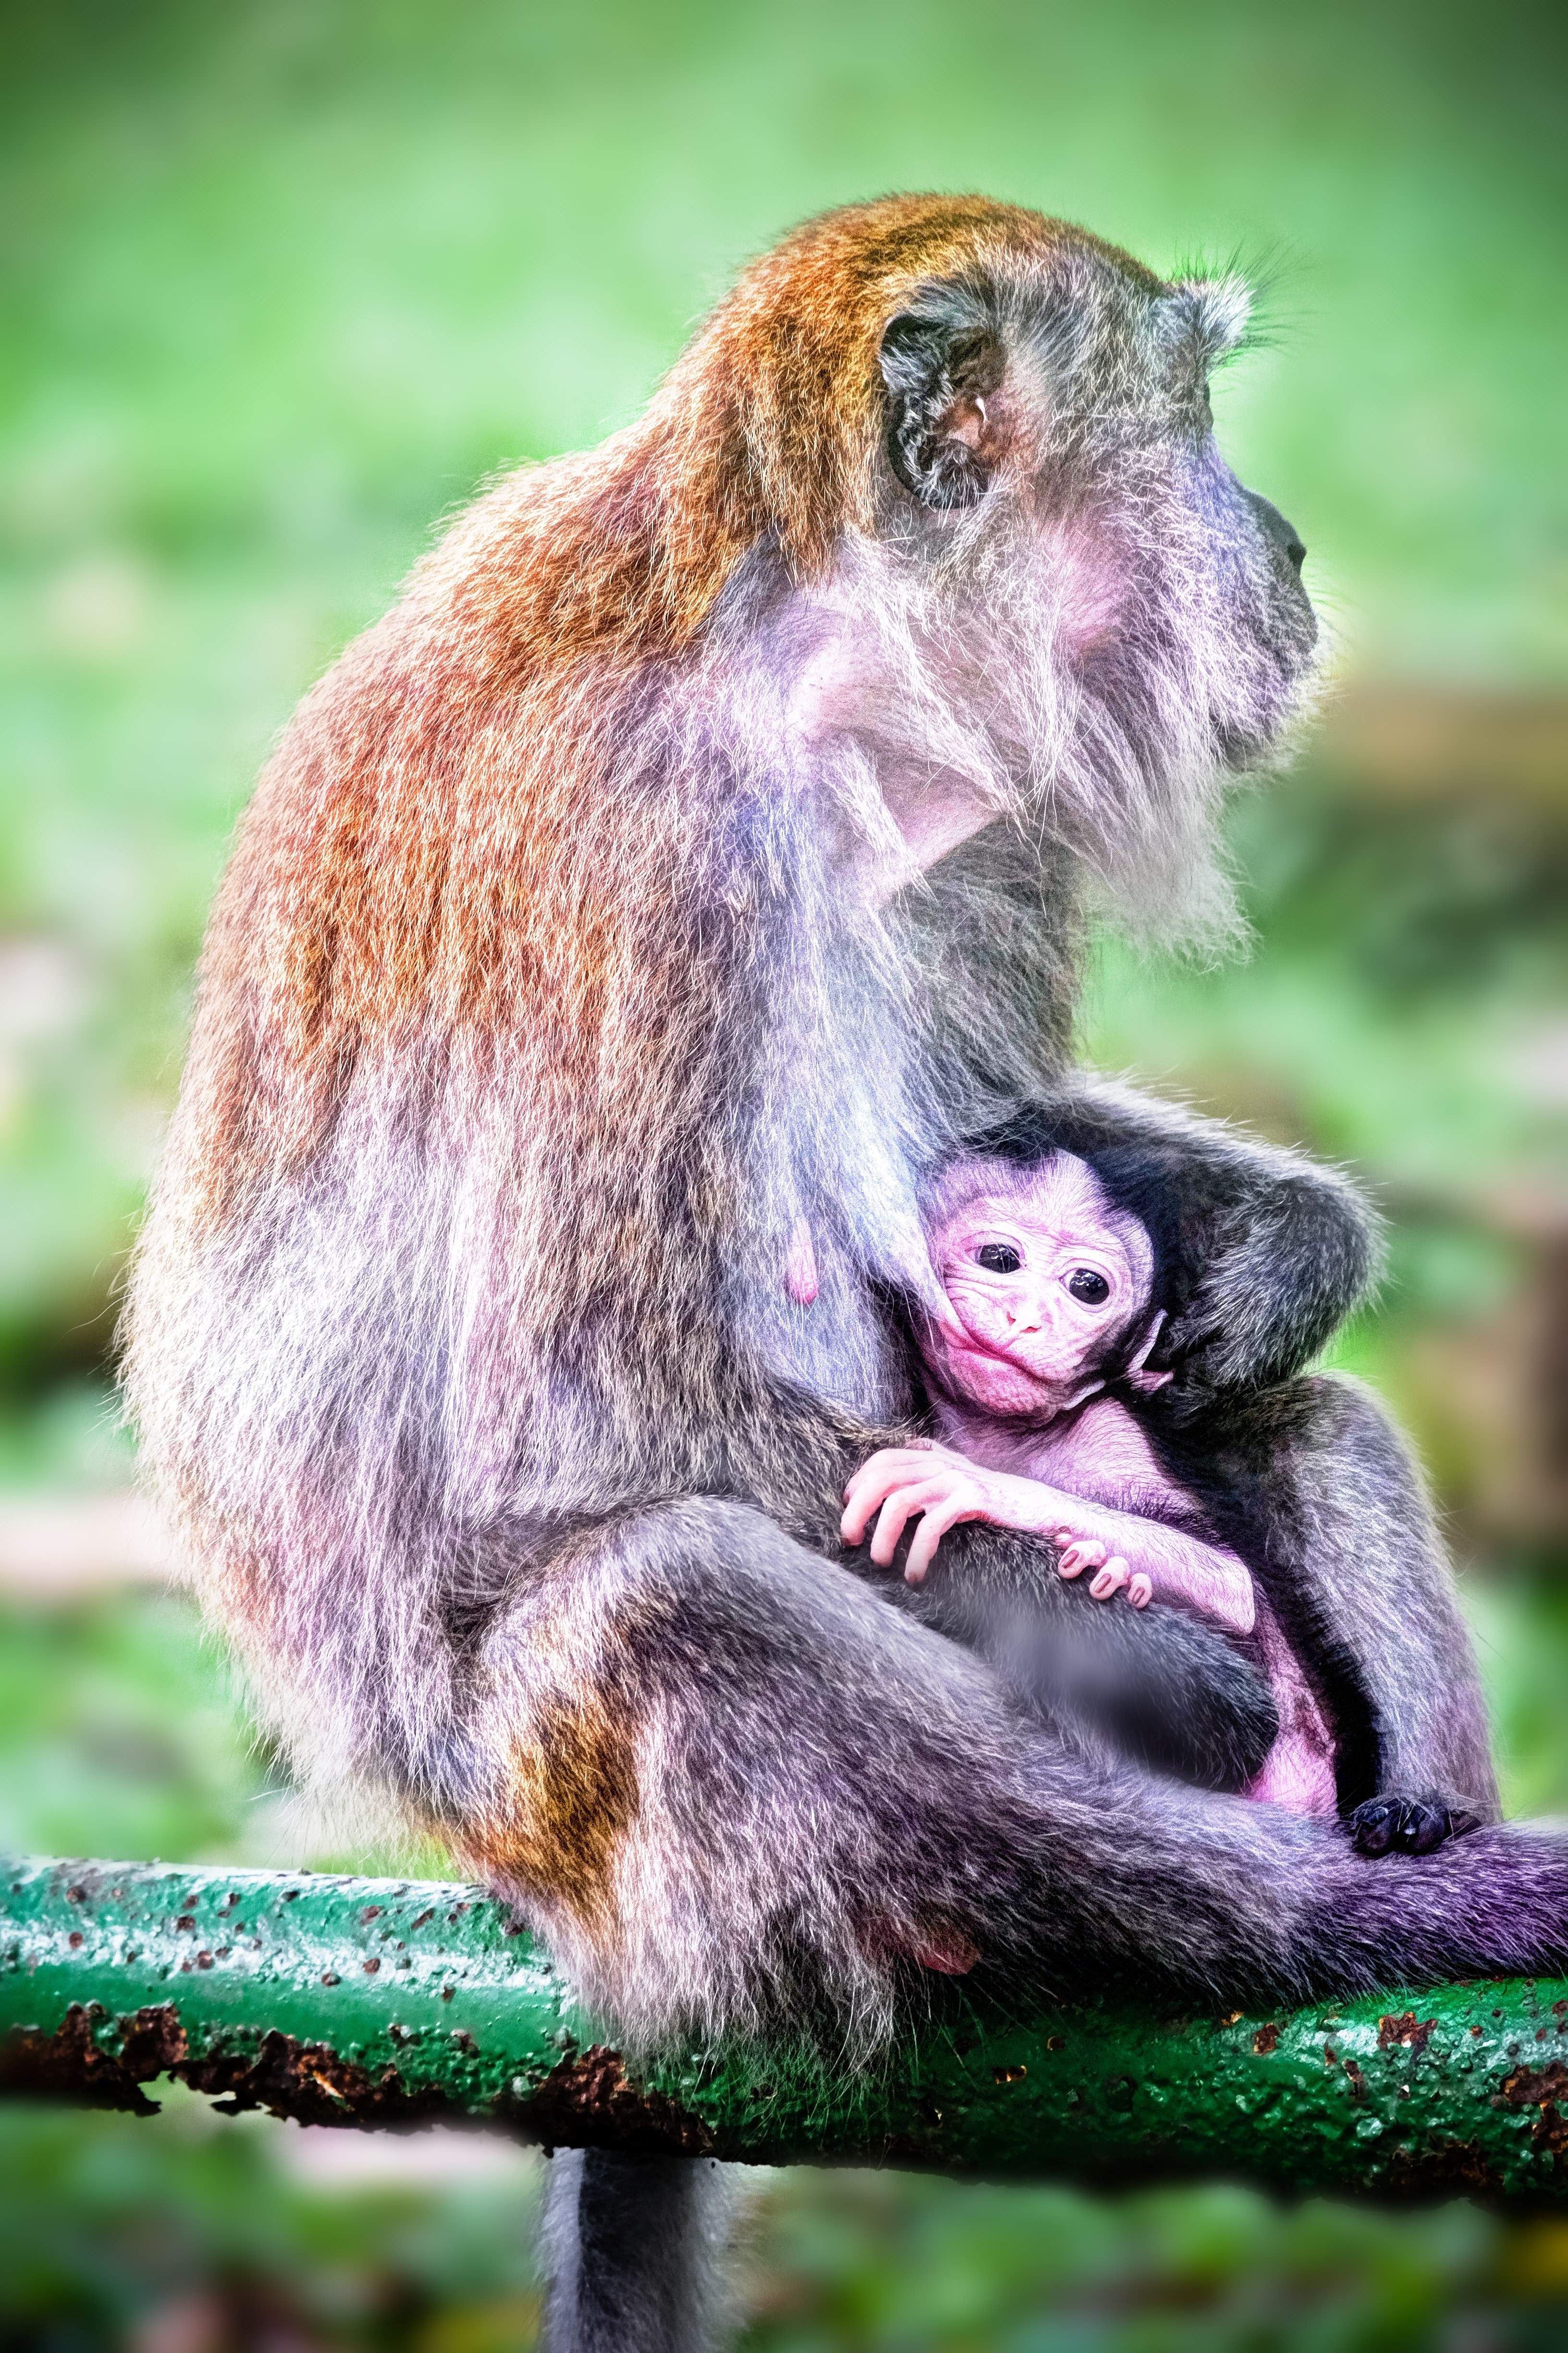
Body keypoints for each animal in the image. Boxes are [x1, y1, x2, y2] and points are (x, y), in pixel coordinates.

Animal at [122, 198, 1568, 2352]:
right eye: (1190, 409)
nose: (1288, 545)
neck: (785, 657)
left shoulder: (976, 822)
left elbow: (1008, 1130)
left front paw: (1285, 1242)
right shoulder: (645, 857)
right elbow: (578, 1411)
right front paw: (1148, 1653)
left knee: (1275, 1414)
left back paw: (1390, 1808)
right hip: (545, 1805)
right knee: (679, 1596)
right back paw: (1329, 1913)